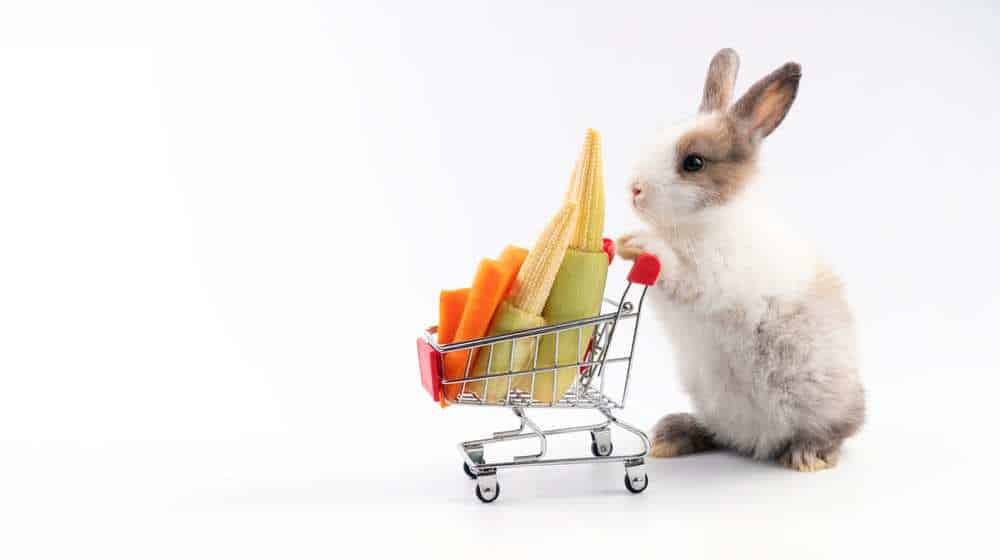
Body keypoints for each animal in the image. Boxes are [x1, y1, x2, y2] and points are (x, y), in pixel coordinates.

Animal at [617, 48, 864, 472]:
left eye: (693, 163)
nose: (635, 190)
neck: (700, 223)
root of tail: (758, 442)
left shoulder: (712, 276)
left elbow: (678, 270)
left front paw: (639, 242)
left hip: (823, 404)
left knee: (840, 430)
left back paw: (807, 454)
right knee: (719, 434)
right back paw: (672, 435)